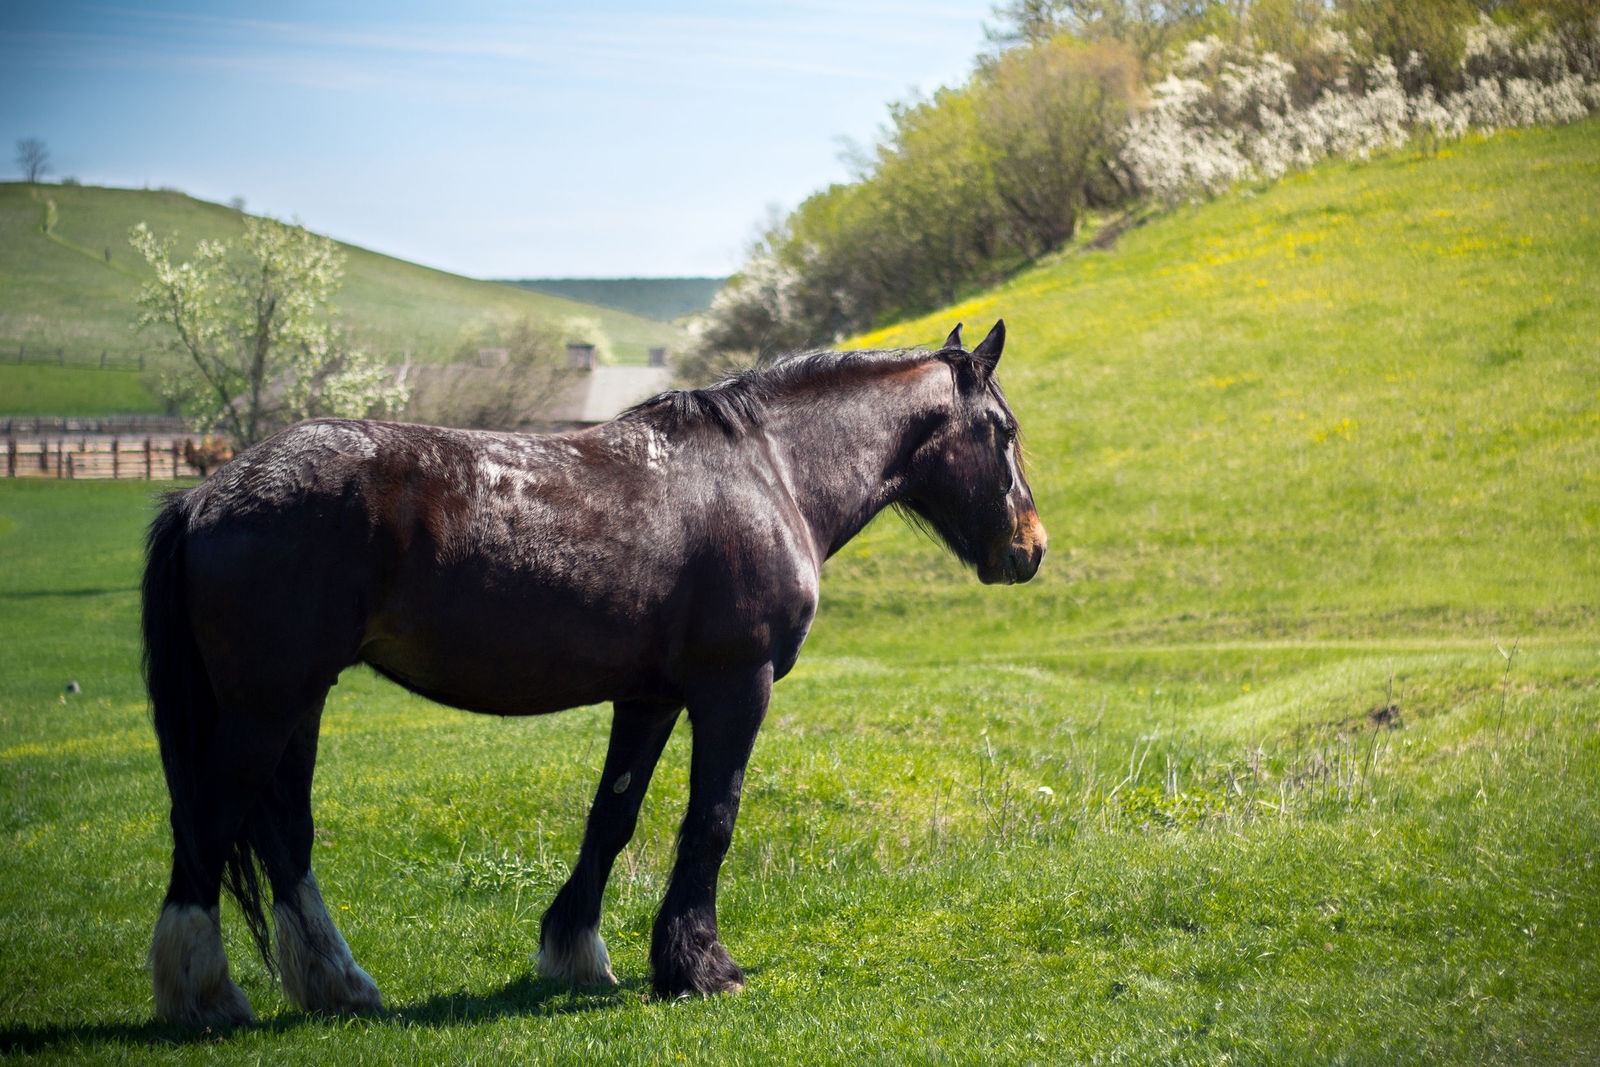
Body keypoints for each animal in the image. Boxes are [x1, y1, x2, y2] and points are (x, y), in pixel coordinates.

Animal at [144, 319, 1043, 1023]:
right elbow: (711, 820)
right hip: (266, 706)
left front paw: (577, 949)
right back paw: (204, 994)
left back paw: (340, 985)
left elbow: (611, 818)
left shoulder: (647, 698)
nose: (1030, 547)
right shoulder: (735, 687)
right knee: (209, 823)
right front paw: (701, 966)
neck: (768, 471)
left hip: (298, 703)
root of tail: (205, 494)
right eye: (1002, 430)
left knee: (285, 835)